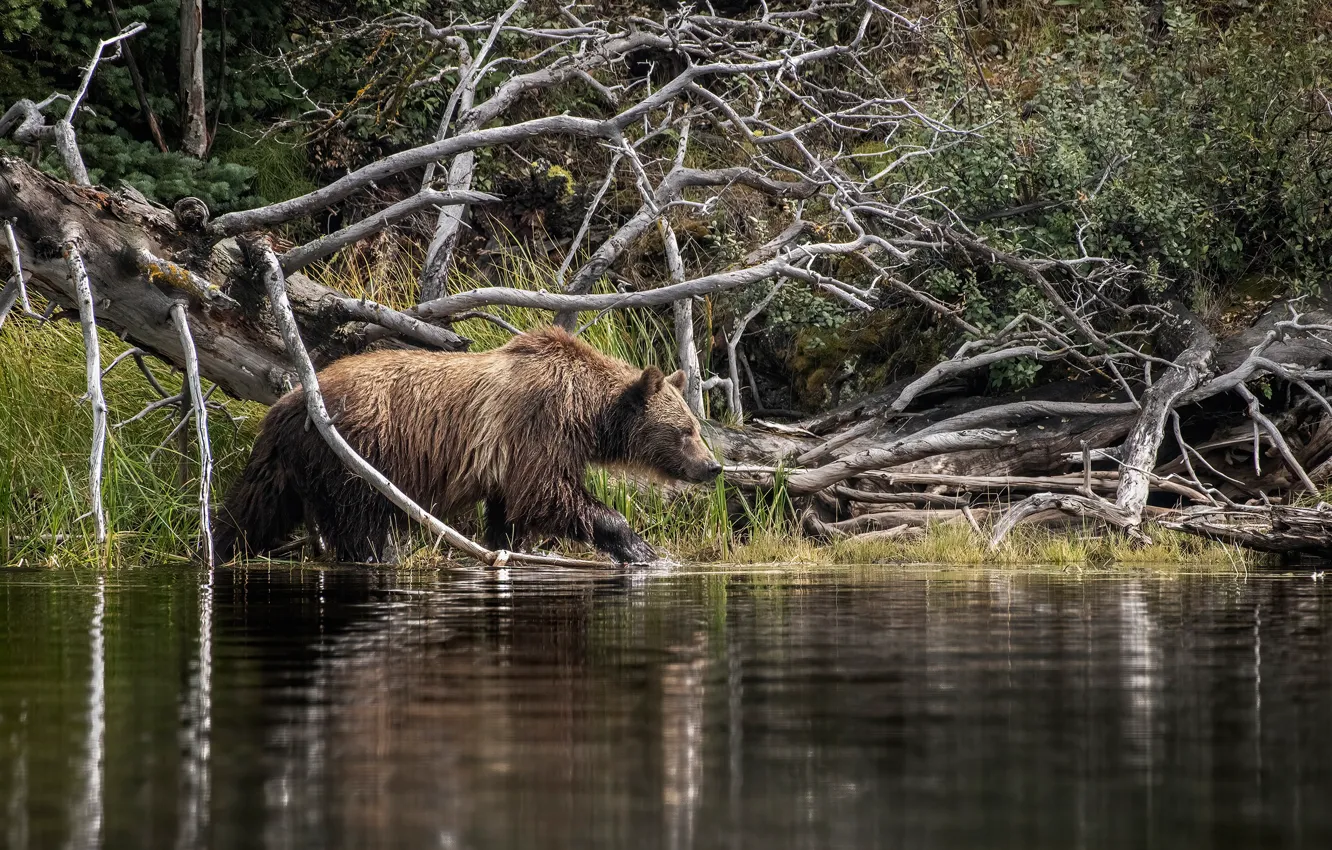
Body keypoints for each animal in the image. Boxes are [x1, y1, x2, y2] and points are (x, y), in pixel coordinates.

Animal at [211, 326, 721, 564]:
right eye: (686, 430)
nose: (713, 467)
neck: (586, 412)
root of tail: (291, 400)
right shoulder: (540, 426)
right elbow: (546, 493)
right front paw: (639, 548)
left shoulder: (510, 457)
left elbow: (509, 513)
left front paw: (512, 548)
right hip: (357, 453)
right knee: (361, 522)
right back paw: (382, 557)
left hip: (286, 462)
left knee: (254, 508)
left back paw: (220, 546)